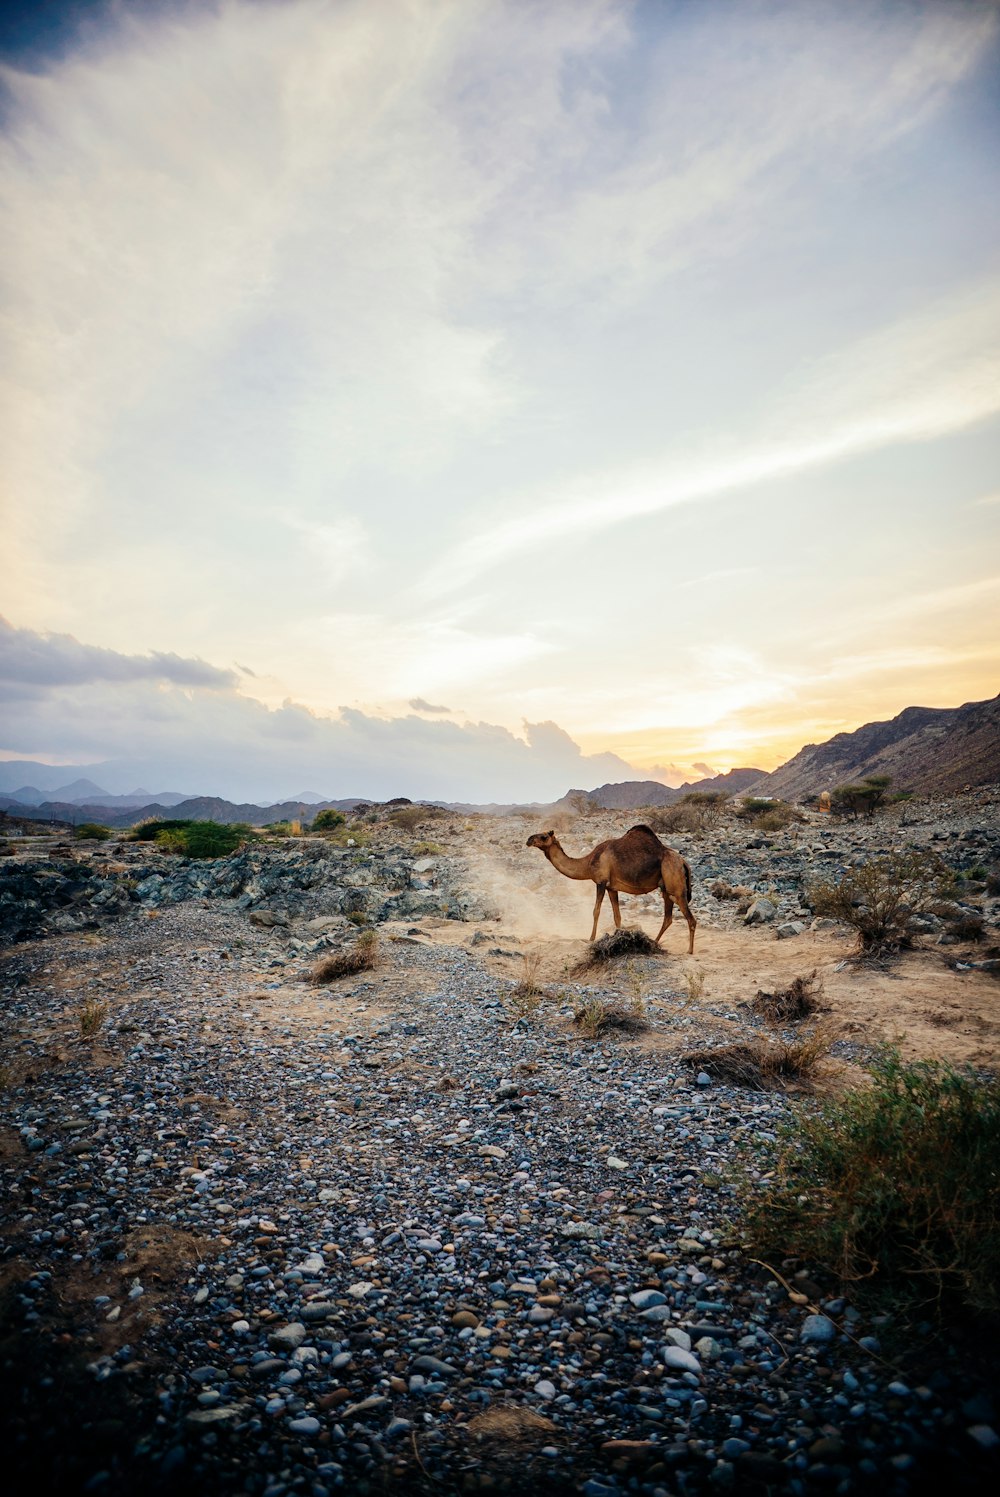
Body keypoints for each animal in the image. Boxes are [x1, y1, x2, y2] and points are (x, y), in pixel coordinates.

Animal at [523, 826, 694, 952]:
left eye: (544, 837)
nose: (529, 840)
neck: (587, 863)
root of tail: (683, 862)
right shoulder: (612, 888)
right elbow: (617, 916)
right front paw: (620, 938)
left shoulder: (601, 882)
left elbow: (596, 911)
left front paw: (591, 939)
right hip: (666, 888)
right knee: (668, 918)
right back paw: (654, 942)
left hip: (676, 885)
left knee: (690, 919)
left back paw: (689, 950)